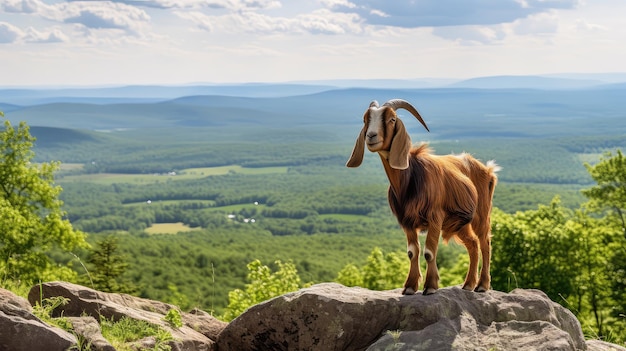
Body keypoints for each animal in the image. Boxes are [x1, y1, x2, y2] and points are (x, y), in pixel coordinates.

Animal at [346, 99, 498, 296]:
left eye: (392, 119)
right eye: (366, 119)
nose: (371, 136)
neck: (411, 178)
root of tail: (488, 170)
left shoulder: (435, 217)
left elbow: (429, 252)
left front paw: (431, 286)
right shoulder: (407, 221)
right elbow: (412, 252)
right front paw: (410, 287)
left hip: (481, 213)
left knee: (485, 242)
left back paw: (482, 285)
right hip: (460, 222)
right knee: (472, 243)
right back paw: (468, 284)